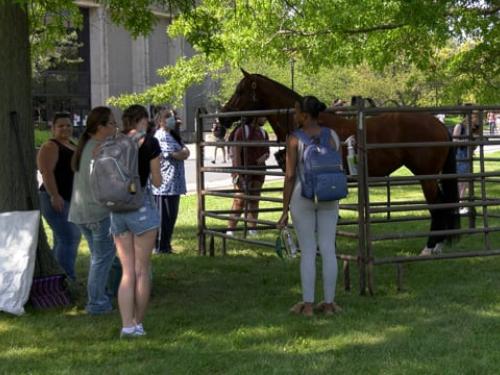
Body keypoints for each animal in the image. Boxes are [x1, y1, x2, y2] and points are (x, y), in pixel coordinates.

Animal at [221, 69, 458, 254]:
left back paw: (430, 247)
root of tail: (438, 124)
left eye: (240, 91)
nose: (223, 117)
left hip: (426, 176)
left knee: (438, 206)